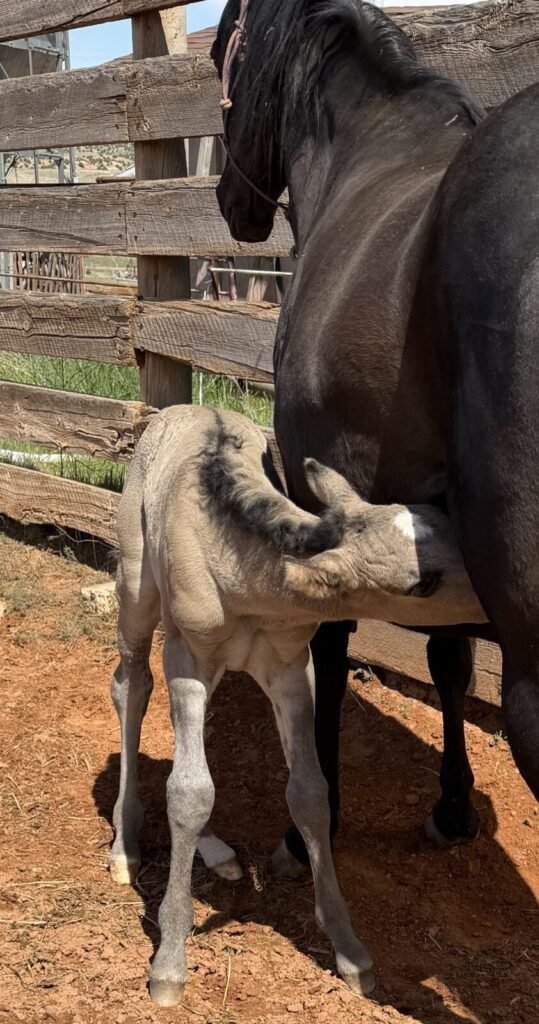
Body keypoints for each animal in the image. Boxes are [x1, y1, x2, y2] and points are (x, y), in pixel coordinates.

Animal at [211, 0, 539, 876]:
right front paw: (453, 807)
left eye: (220, 51)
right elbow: (448, 662)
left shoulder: (320, 485)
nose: (228, 201)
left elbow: (328, 644)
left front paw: (309, 825)